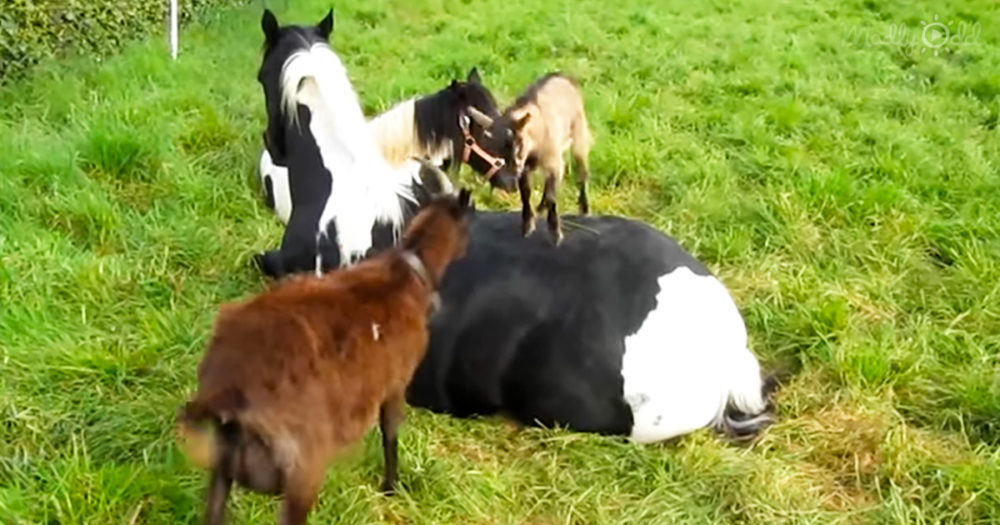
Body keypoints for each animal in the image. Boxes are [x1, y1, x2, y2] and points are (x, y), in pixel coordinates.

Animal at [175, 189, 474, 525]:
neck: (408, 272)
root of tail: (226, 394)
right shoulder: (396, 383)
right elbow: (390, 434)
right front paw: (391, 487)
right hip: (302, 473)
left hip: (224, 468)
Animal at [466, 72, 593, 244]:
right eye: (489, 150)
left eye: (516, 144)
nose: (507, 185)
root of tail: (564, 77)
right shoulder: (524, 169)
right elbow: (526, 193)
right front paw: (527, 226)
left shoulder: (552, 162)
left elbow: (552, 196)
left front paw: (555, 233)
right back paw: (541, 206)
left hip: (579, 134)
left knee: (582, 171)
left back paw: (584, 208)